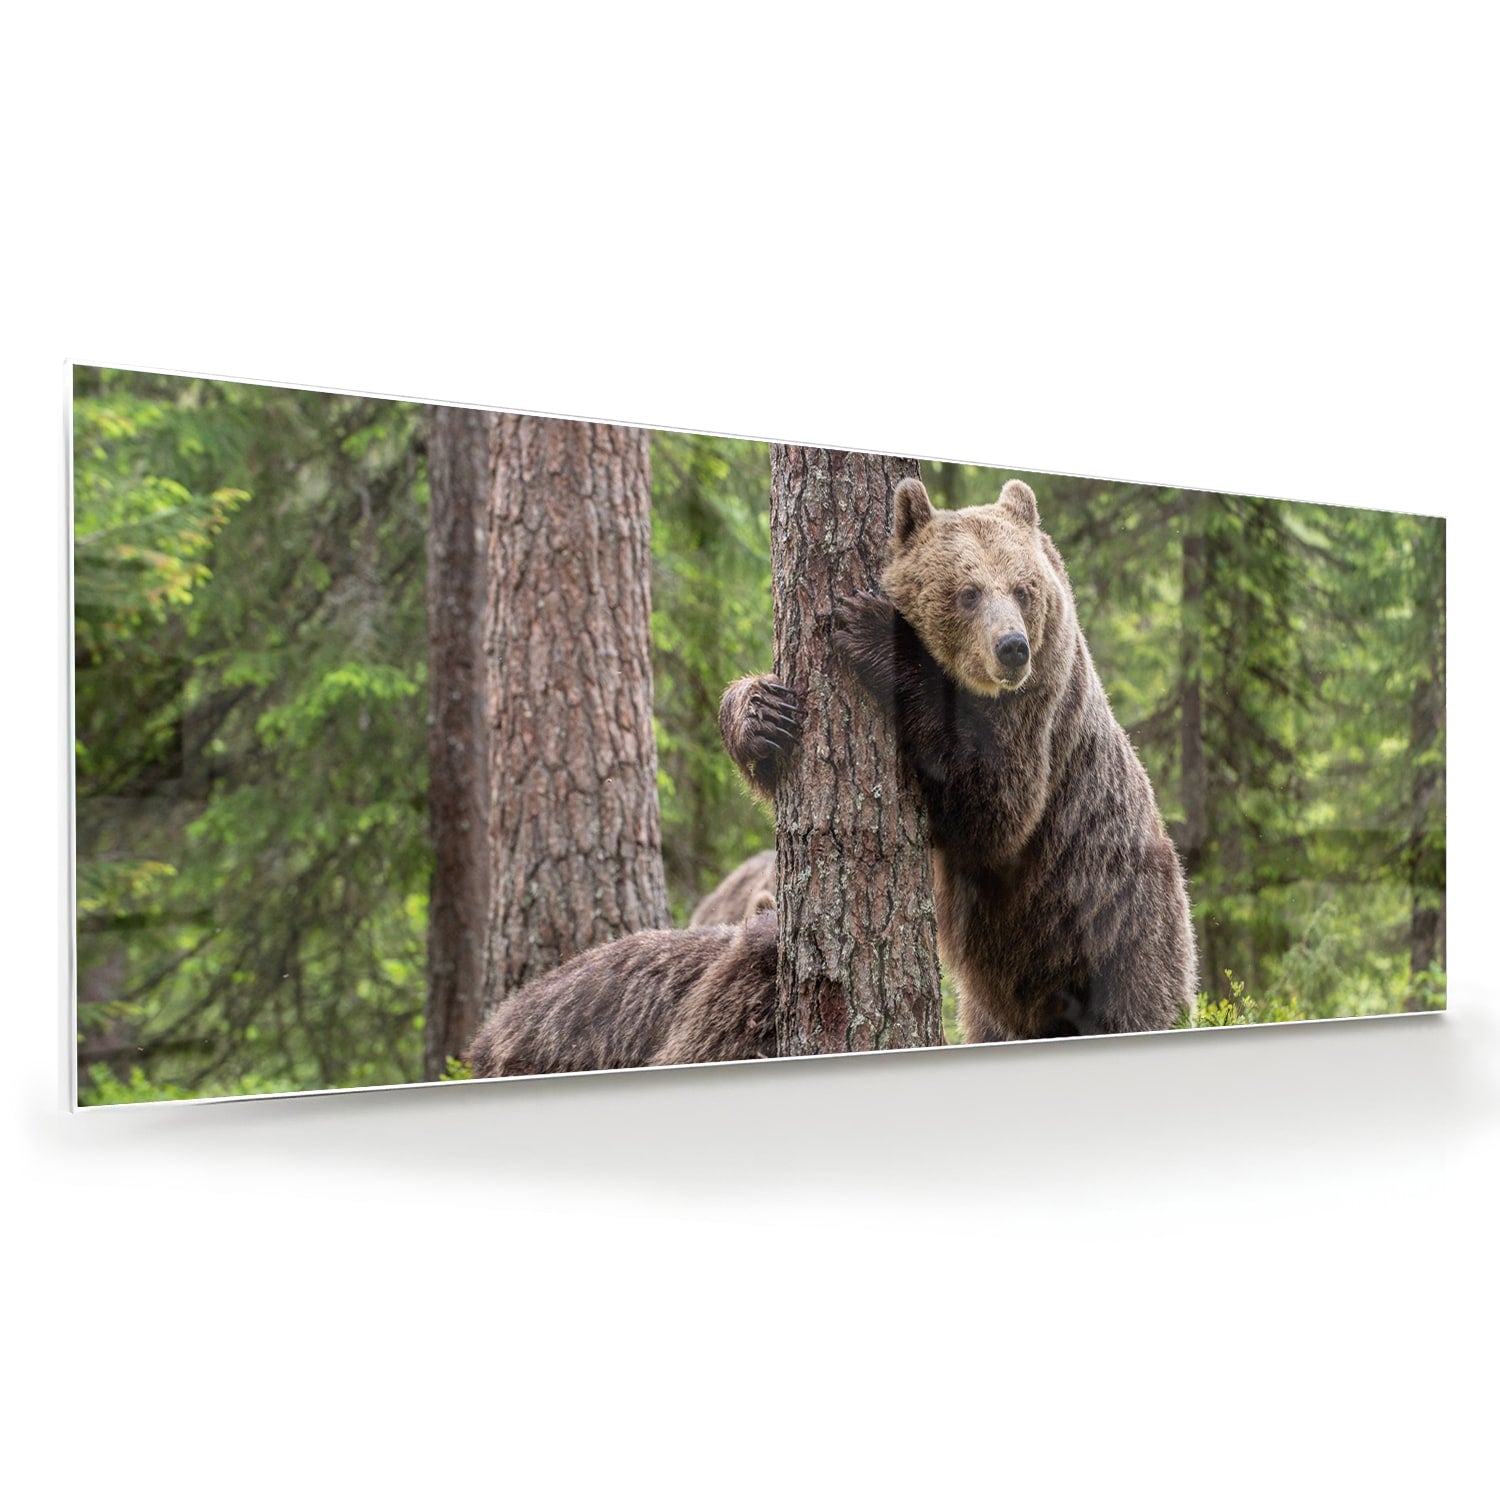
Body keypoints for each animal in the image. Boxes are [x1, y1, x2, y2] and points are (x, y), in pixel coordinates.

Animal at [721, 475, 1197, 1041]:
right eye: (968, 592)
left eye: (1022, 589)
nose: (1011, 647)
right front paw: (765, 715)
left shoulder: (1037, 715)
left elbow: (993, 808)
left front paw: (875, 630)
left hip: (1121, 936)